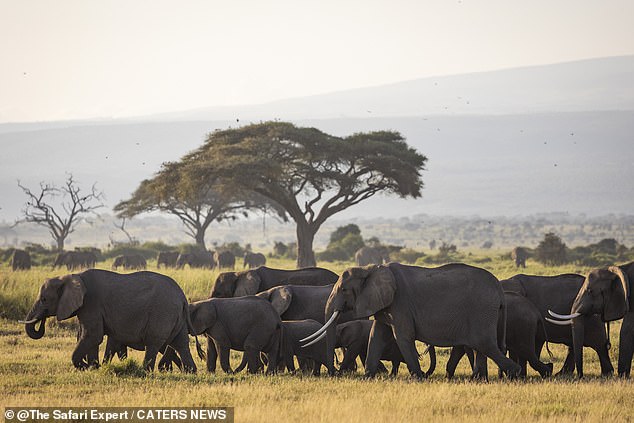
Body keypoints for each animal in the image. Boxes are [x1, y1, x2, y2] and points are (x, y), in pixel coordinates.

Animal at [20, 270, 195, 372]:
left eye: (44, 299)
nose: (41, 320)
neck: (72, 276)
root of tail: (182, 297)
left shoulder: (91, 303)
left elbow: (93, 336)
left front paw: (89, 367)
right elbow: (91, 337)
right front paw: (93, 367)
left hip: (162, 312)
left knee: (153, 343)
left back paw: (145, 372)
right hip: (175, 316)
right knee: (181, 343)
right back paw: (190, 372)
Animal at [304, 264, 520, 380]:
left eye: (344, 290)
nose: (334, 373)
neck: (371, 269)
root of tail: (499, 287)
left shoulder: (401, 303)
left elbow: (402, 336)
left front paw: (417, 377)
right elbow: (376, 336)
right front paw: (367, 377)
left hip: (482, 310)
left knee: (484, 344)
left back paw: (514, 374)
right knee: (481, 347)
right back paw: (479, 379)